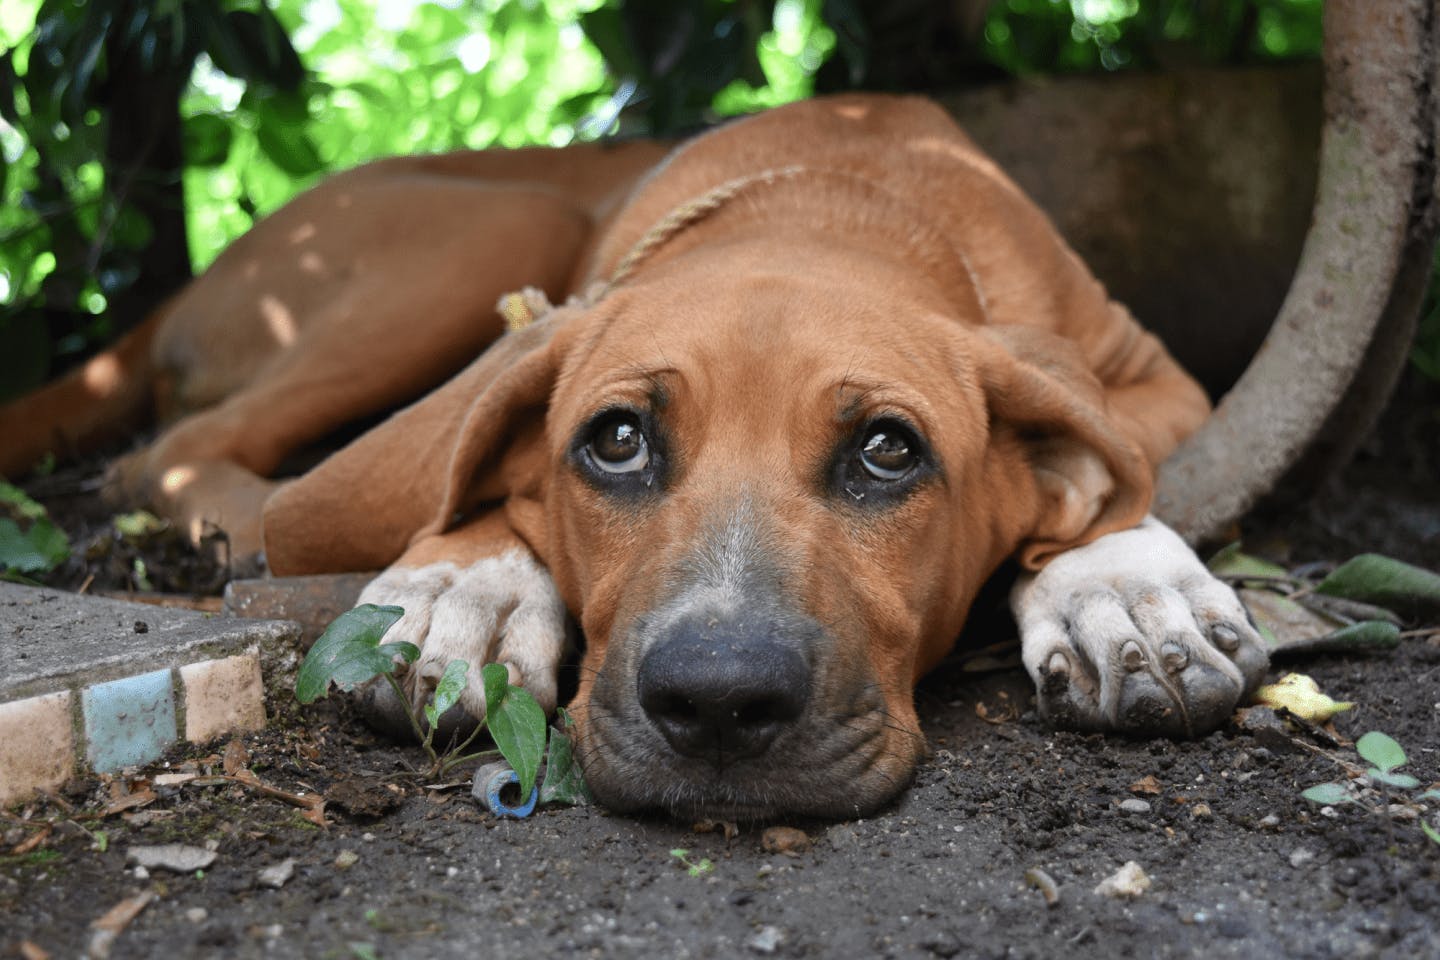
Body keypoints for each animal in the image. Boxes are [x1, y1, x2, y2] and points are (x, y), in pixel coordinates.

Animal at [0, 95, 1267, 817]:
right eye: (615, 441)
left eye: (887, 452)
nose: (717, 704)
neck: (839, 195)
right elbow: (475, 467)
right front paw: (462, 586)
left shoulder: (1153, 373)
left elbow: (1115, 480)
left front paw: (1126, 586)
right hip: (494, 233)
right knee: (178, 452)